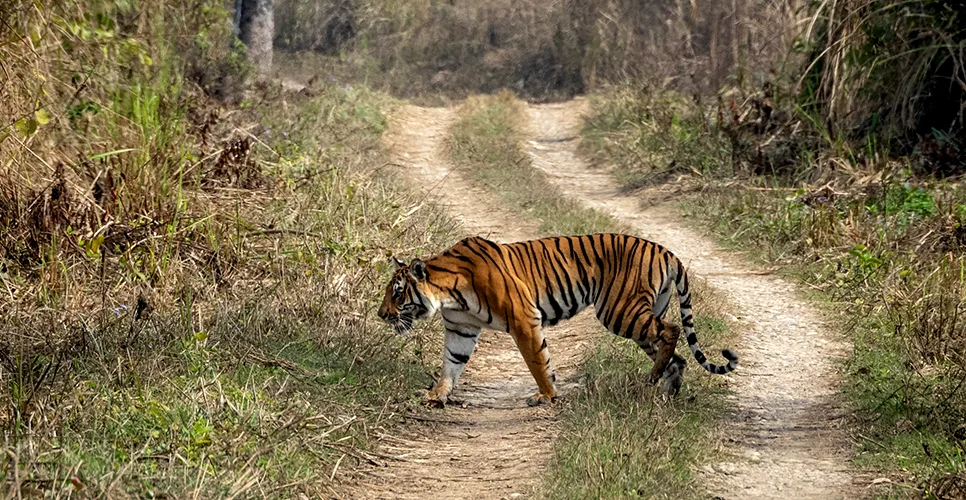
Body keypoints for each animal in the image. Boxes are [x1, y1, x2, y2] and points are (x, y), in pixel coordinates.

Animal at [378, 233, 740, 406]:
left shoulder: (524, 318)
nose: (381, 314)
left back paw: (653, 379)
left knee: (673, 330)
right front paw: (437, 395)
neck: (448, 293)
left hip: (620, 312)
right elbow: (452, 364)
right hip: (638, 319)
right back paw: (667, 390)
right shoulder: (460, 329)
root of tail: (667, 251)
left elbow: (537, 360)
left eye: (397, 293)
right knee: (678, 355)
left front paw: (546, 396)